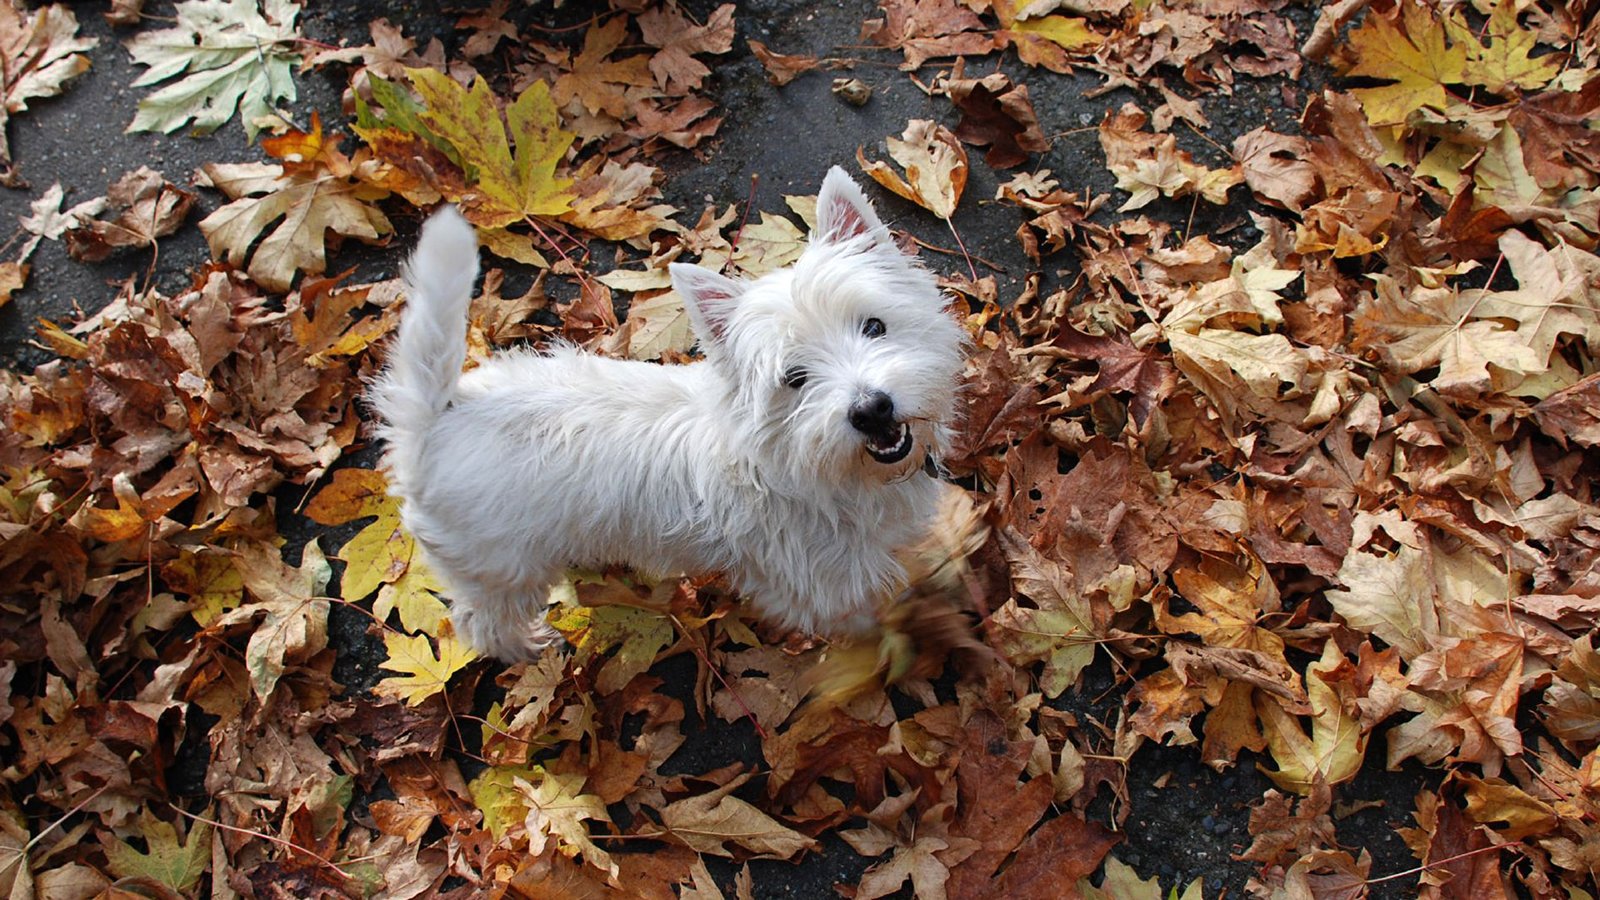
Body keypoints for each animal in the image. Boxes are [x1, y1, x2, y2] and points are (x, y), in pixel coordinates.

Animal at [374, 168, 966, 659]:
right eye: (794, 379)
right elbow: (863, 616)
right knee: (481, 621)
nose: (872, 409)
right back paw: (528, 647)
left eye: (874, 326)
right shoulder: (820, 583)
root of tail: (437, 419)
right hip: (501, 568)